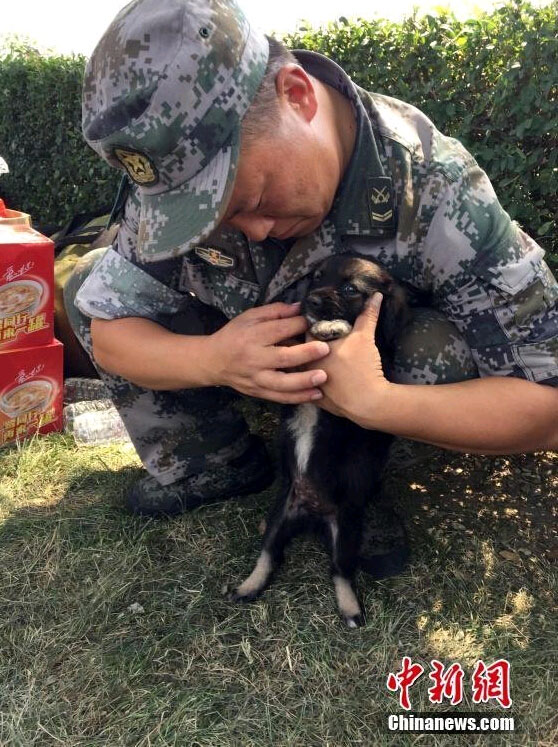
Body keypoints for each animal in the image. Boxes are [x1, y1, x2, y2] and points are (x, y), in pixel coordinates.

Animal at [228, 258, 412, 632]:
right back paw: (249, 586)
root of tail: (312, 517)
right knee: (269, 556)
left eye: (350, 289)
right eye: (315, 277)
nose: (310, 300)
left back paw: (351, 610)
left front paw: (332, 327)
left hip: (346, 532)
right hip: (278, 519)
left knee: (340, 571)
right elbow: (291, 351)